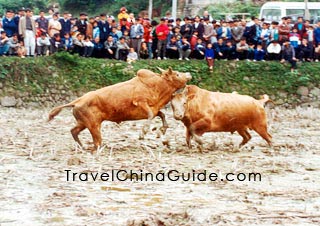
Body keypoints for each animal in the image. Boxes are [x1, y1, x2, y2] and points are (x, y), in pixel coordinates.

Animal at [48, 66, 191, 150]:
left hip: (83, 123)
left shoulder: (154, 109)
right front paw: (143, 133)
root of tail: (77, 101)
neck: (155, 86)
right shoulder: (140, 103)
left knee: (74, 131)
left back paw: (83, 147)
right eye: (177, 74)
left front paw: (162, 129)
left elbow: (161, 114)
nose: (188, 74)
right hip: (93, 125)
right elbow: (151, 116)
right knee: (96, 140)